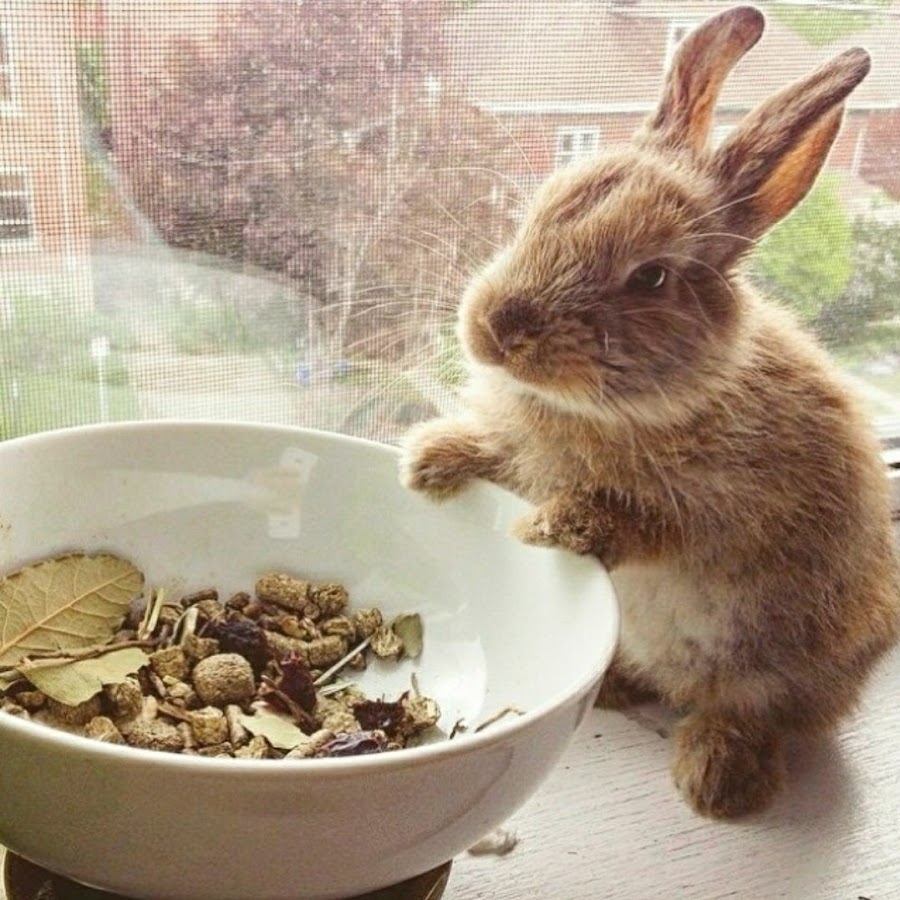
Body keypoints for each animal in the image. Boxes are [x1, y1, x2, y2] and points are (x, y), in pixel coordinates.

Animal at [398, 4, 900, 819]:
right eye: (537, 213)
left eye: (652, 277)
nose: (496, 329)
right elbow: (496, 453)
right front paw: (430, 457)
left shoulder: (721, 513)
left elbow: (644, 525)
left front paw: (554, 527)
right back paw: (615, 690)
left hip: (780, 664)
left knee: (752, 712)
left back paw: (716, 779)